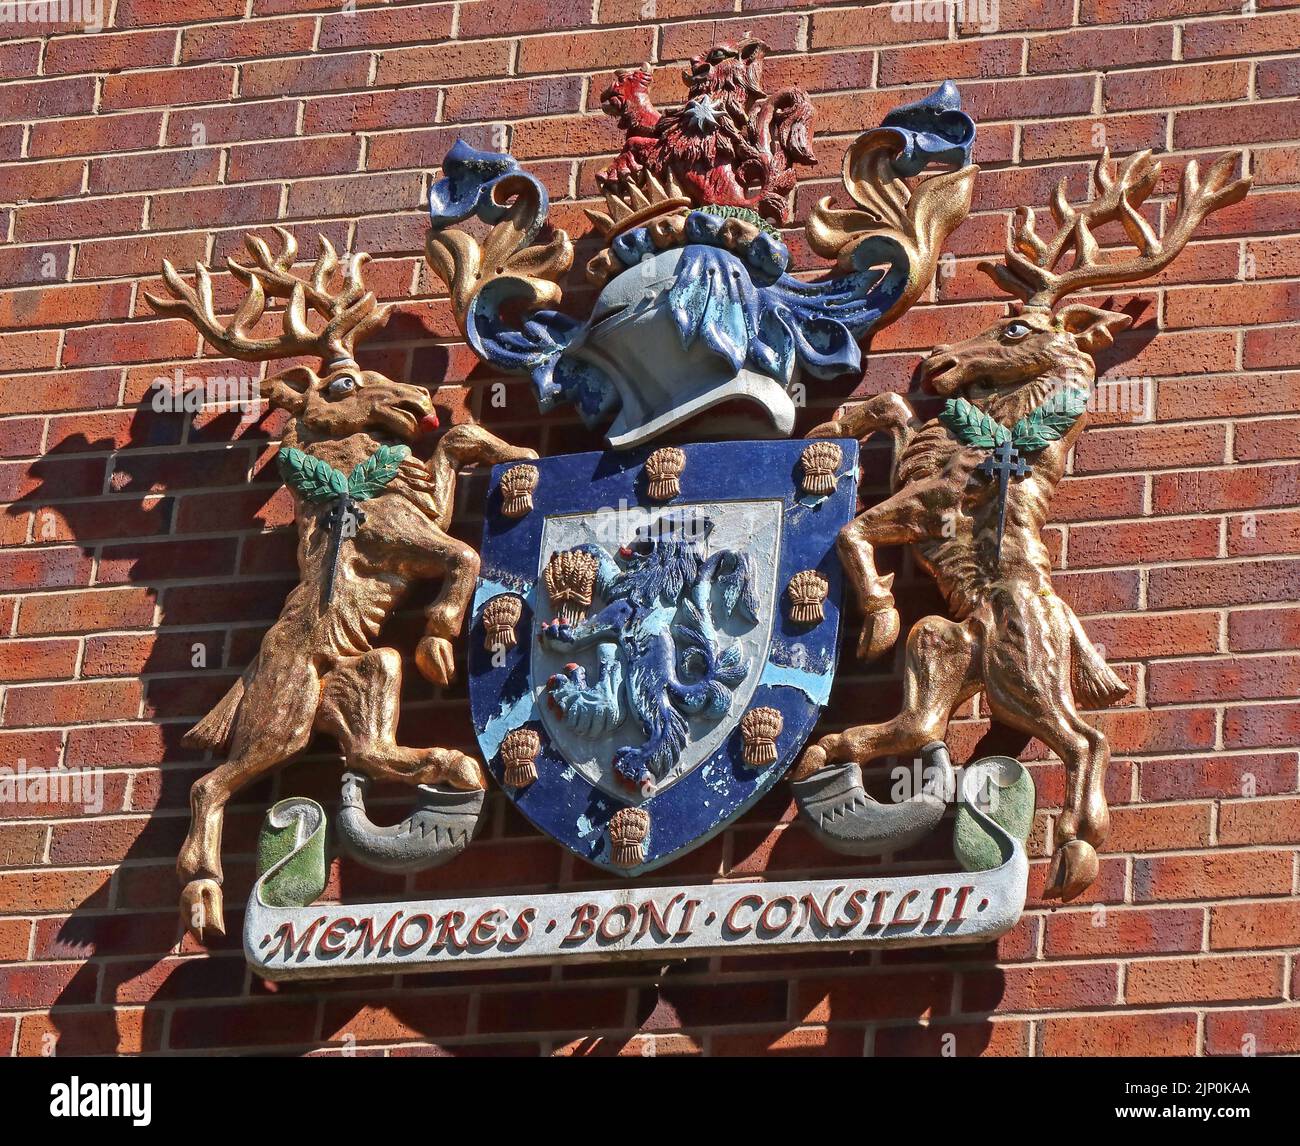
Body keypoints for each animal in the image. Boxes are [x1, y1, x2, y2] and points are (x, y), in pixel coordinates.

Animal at [540, 509, 759, 795]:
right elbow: (607, 568)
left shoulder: (616, 610)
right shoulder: (617, 589)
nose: (637, 530)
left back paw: (633, 764)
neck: (658, 574)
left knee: (665, 726)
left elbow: (588, 626)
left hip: (642, 687)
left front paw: (560, 632)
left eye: (661, 525)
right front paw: (579, 552)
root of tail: (672, 679)